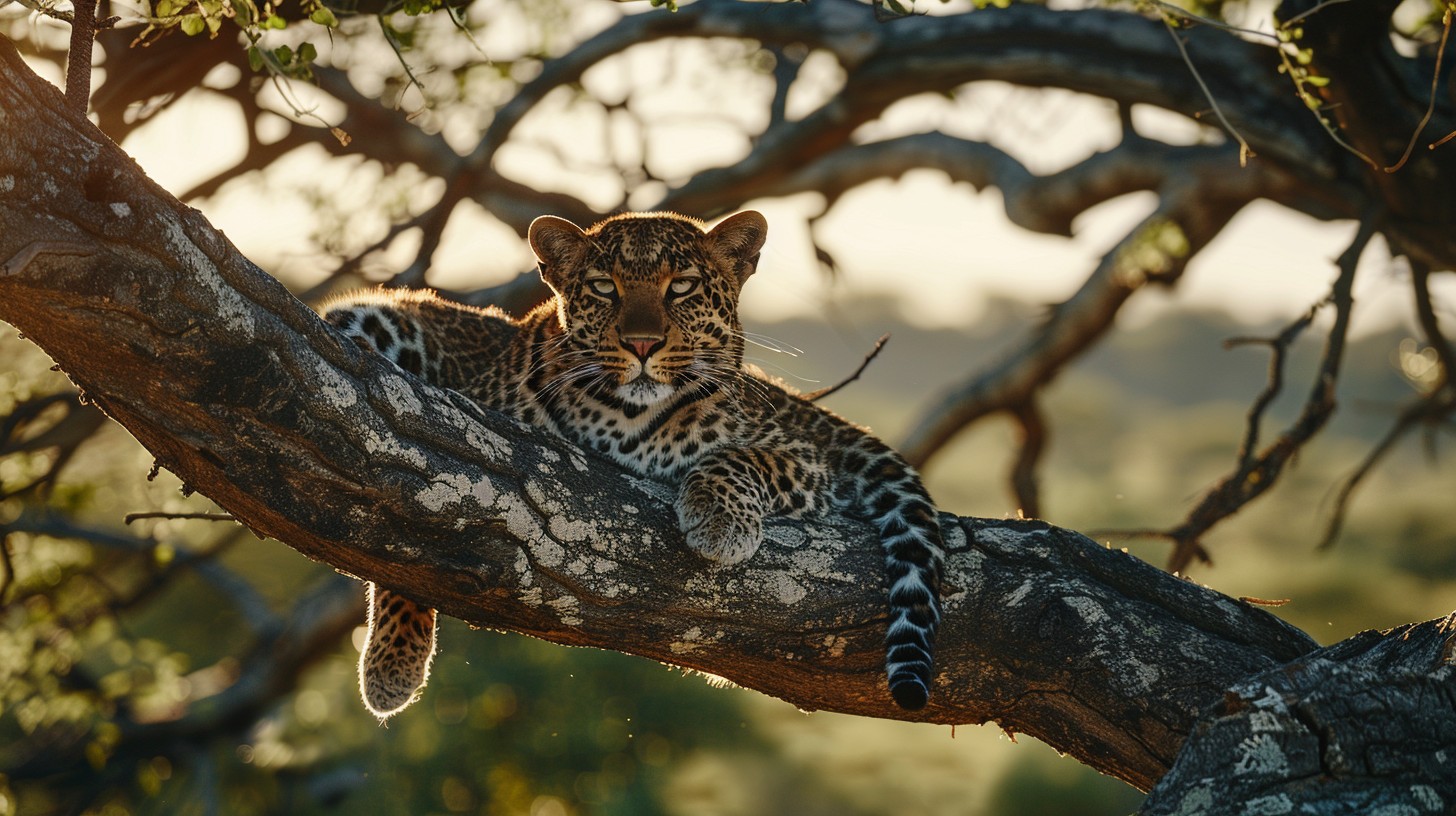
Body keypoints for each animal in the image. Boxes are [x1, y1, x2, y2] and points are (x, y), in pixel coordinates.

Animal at [323, 211, 945, 719]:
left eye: (682, 287)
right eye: (604, 288)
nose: (642, 344)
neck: (625, 415)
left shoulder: (804, 461)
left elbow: (738, 459)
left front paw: (720, 521)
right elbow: (411, 537)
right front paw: (393, 663)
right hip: (373, 316)